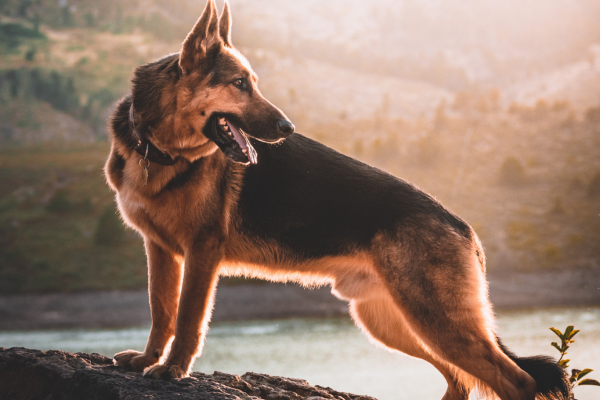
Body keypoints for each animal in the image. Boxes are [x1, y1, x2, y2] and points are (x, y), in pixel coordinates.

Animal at [105, 1, 568, 398]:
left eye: (252, 84)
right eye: (239, 84)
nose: (288, 128)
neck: (159, 150)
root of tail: (464, 227)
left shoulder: (202, 253)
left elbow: (186, 319)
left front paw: (172, 369)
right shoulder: (161, 250)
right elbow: (161, 311)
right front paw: (147, 360)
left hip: (436, 323)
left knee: (516, 380)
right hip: (392, 323)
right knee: (460, 380)